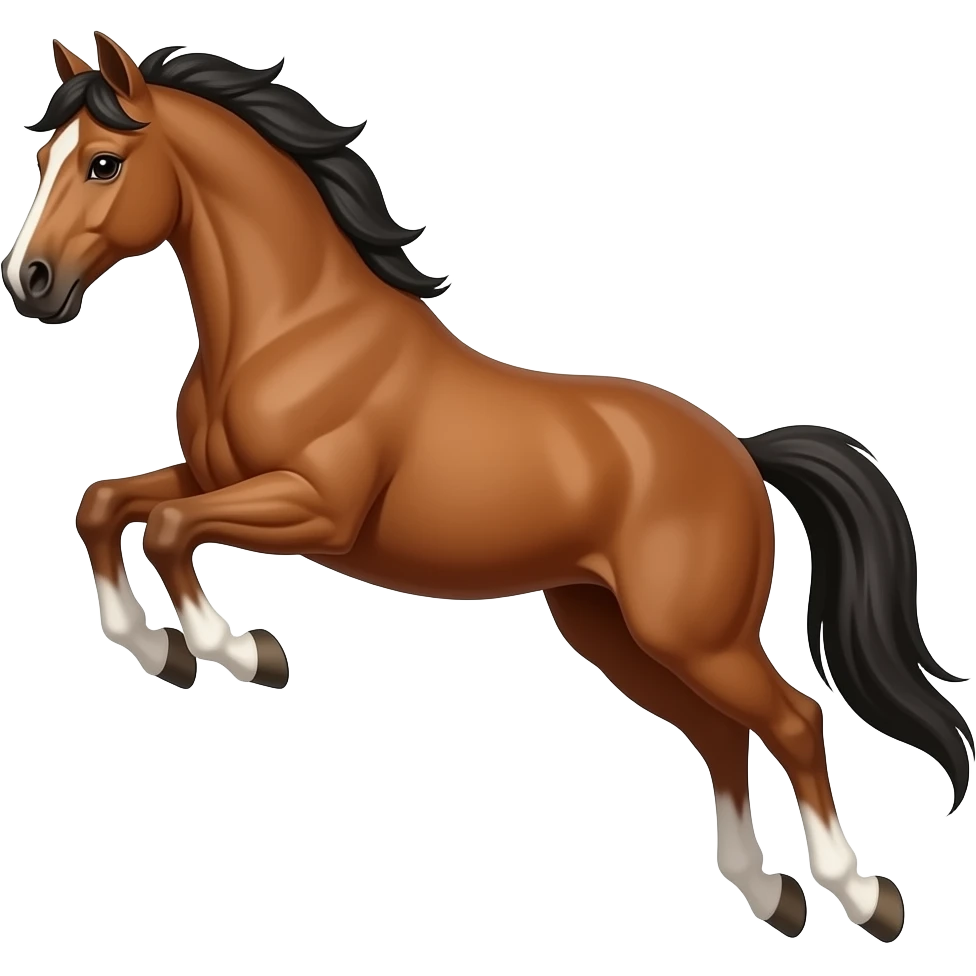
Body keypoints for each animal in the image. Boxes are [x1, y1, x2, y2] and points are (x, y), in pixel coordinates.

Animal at [4, 33, 970, 943]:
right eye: (42, 158)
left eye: (103, 162)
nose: (30, 283)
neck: (294, 330)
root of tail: (741, 450)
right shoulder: (219, 478)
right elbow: (107, 504)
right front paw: (156, 648)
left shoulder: (315, 509)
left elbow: (169, 526)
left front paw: (241, 653)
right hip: (612, 629)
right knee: (722, 733)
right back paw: (770, 894)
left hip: (694, 635)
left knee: (794, 720)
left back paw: (863, 897)